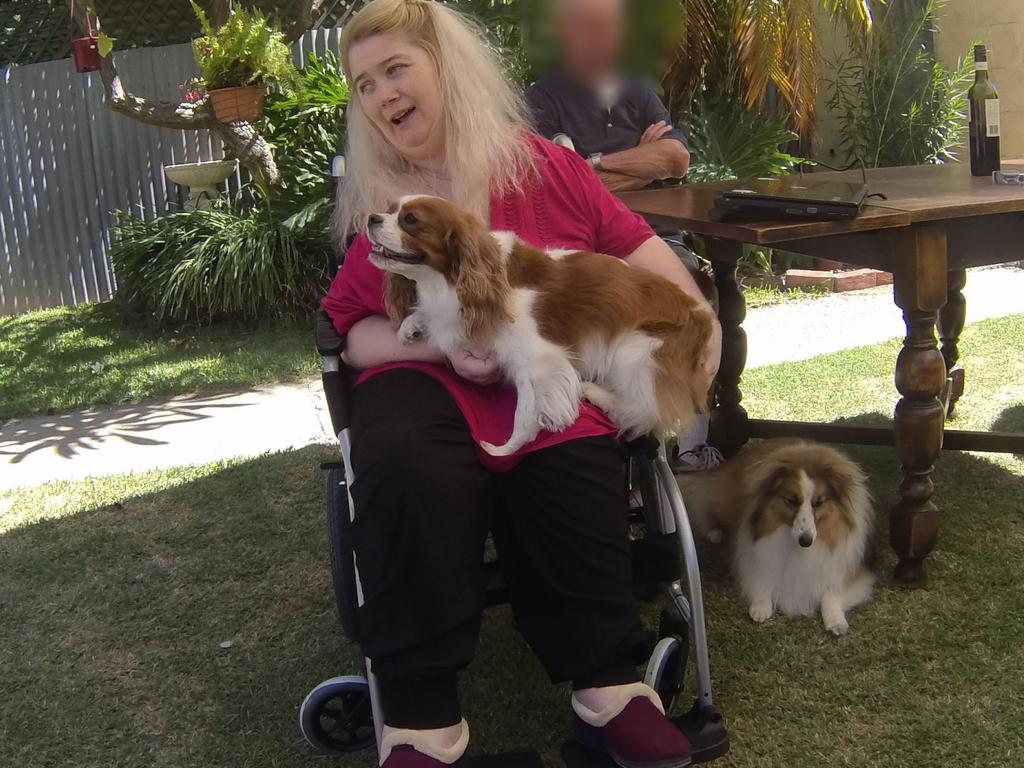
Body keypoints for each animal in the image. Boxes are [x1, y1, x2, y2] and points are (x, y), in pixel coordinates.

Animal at [366, 195, 712, 456]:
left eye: (410, 220)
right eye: (388, 208)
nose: (371, 217)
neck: (453, 282)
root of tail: (703, 317)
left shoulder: (538, 360)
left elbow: (524, 412)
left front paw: (504, 449)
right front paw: (411, 324)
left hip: (637, 351)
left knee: (645, 408)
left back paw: (596, 393)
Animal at [679, 438, 872, 638]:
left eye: (819, 503)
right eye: (791, 500)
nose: (806, 541)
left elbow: (831, 592)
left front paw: (836, 620)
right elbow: (762, 574)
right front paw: (761, 605)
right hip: (725, 500)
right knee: (704, 503)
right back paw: (714, 532)